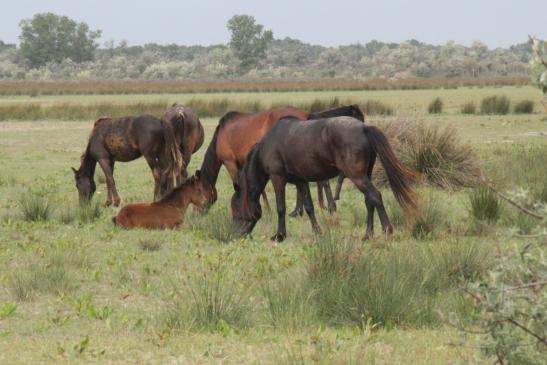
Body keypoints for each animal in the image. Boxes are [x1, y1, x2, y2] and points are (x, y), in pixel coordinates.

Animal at [198, 104, 364, 213]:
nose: (199, 212)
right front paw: (265, 207)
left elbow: (240, 185)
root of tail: (307, 115)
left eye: (197, 190)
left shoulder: (230, 163)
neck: (221, 133)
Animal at [231, 116, 420, 242]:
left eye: (235, 208)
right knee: (369, 201)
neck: (268, 146)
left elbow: (281, 208)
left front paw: (280, 235)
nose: (236, 235)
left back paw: (387, 230)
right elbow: (309, 207)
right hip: (365, 175)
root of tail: (363, 128)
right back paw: (367, 234)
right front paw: (317, 231)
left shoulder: (278, 179)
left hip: (357, 176)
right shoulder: (301, 181)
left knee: (375, 196)